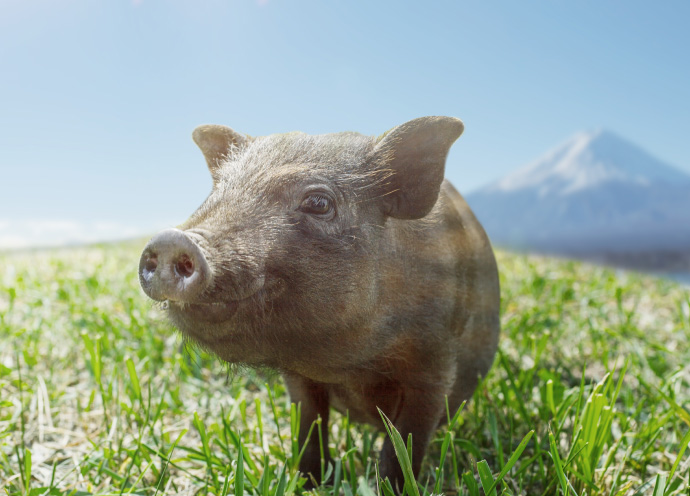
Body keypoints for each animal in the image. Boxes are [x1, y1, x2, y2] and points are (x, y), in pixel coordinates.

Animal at [137, 117, 498, 488]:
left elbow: (405, 443)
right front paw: (308, 483)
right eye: (217, 191)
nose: (171, 240)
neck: (349, 366)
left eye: (319, 203)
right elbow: (309, 426)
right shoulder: (298, 378)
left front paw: (388, 485)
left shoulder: (435, 366)